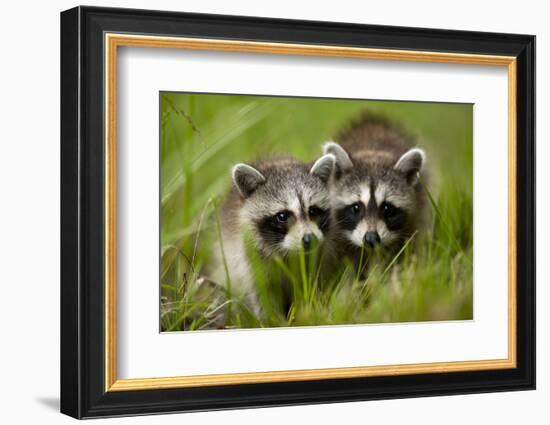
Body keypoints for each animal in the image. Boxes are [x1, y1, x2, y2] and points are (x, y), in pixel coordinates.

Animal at [215, 154, 336, 314]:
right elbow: (263, 295)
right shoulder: (251, 259)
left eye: (313, 211)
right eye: (282, 216)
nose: (310, 239)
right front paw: (271, 318)